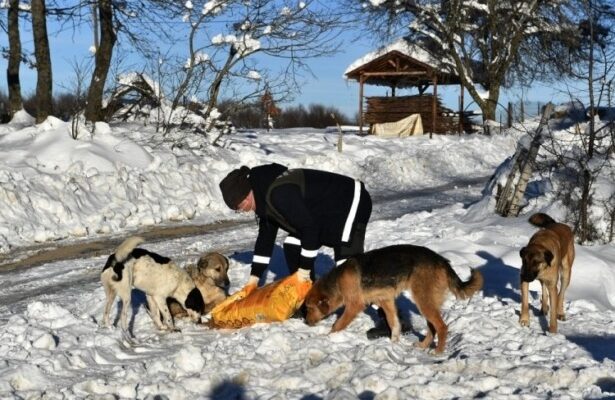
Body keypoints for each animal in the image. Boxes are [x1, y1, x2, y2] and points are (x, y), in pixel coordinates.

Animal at [306, 244, 484, 354]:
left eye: (308, 308)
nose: (306, 322)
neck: (336, 282)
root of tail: (441, 260)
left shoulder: (354, 305)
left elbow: (338, 324)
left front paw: (328, 337)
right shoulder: (386, 301)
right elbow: (394, 323)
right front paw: (394, 342)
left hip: (423, 300)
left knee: (441, 327)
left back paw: (438, 352)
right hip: (427, 302)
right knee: (432, 327)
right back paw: (423, 345)